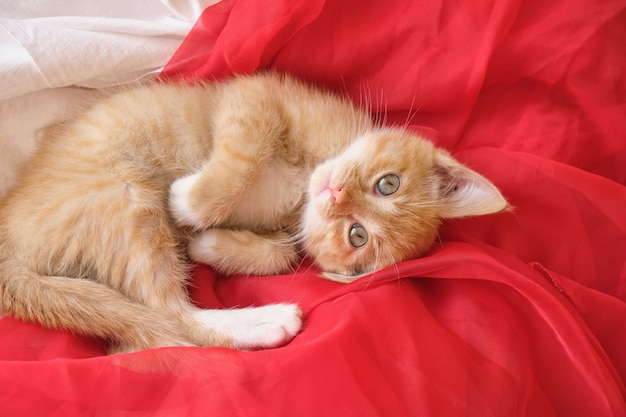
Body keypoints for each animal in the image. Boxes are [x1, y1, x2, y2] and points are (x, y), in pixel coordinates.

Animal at [0, 73, 508, 352]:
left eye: (356, 235)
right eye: (388, 184)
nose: (336, 192)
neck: (302, 189)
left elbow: (281, 254)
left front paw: (208, 244)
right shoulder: (255, 96)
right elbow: (245, 153)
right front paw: (188, 202)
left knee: (172, 319)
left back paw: (262, 323)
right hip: (124, 192)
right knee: (164, 316)